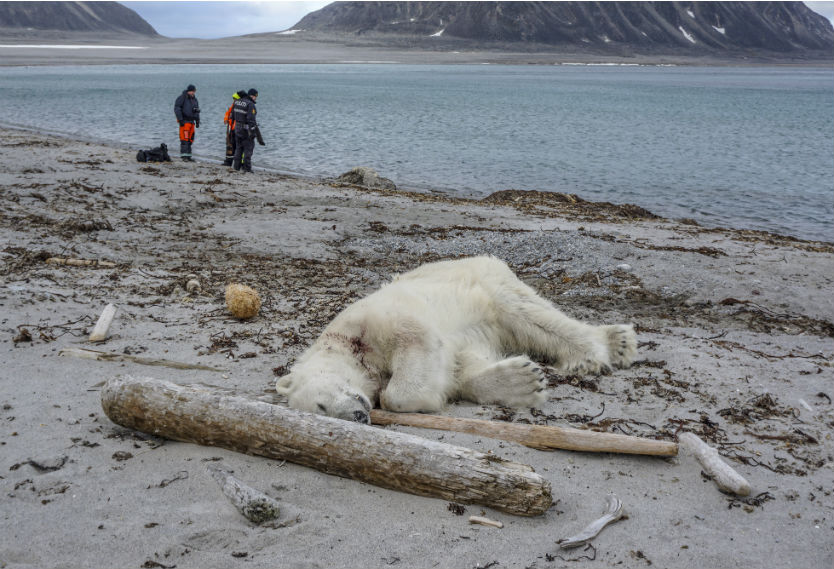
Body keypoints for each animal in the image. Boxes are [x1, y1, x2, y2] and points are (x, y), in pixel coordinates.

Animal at [276, 256, 632, 422]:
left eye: (321, 405)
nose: (359, 416)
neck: (347, 346)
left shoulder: (372, 320)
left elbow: (415, 343)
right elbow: (463, 366)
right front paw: (522, 381)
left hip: (486, 282)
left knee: (528, 314)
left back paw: (605, 347)